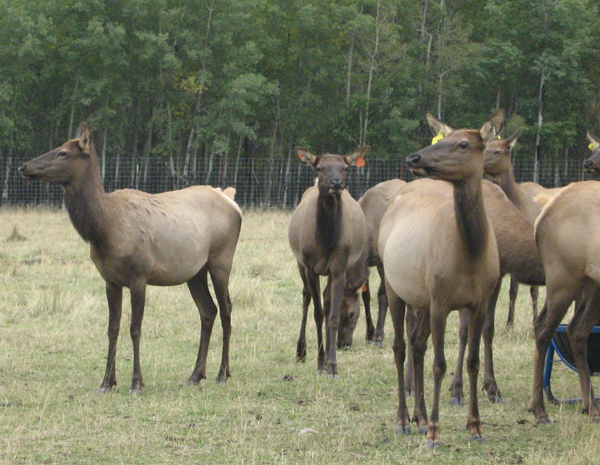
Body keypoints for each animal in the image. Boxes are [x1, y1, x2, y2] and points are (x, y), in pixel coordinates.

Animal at [19, 122, 243, 392]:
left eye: (63, 152)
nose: (24, 166)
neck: (104, 228)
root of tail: (231, 200)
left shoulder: (139, 275)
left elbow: (135, 328)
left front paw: (136, 382)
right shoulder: (110, 279)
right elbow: (112, 328)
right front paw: (107, 381)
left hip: (221, 258)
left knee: (227, 308)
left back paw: (223, 373)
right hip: (195, 271)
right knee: (208, 310)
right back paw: (195, 375)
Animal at [288, 147, 368, 376]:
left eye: (345, 168)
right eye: (319, 168)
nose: (336, 183)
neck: (327, 240)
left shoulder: (339, 269)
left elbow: (331, 316)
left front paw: (331, 365)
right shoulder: (310, 268)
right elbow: (318, 314)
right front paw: (319, 361)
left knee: (326, 300)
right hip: (300, 263)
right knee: (306, 296)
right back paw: (301, 351)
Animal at [380, 111, 502, 446]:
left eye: (463, 143)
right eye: (443, 137)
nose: (414, 157)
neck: (471, 251)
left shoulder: (479, 302)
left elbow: (472, 361)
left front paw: (475, 426)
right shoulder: (440, 301)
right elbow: (439, 364)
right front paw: (435, 431)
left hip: (421, 297)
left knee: (417, 343)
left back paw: (419, 417)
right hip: (395, 287)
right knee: (400, 346)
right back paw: (404, 419)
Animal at [528, 180, 600, 424]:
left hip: (591, 284)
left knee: (576, 330)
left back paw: (591, 407)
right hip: (563, 279)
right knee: (543, 328)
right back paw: (539, 409)